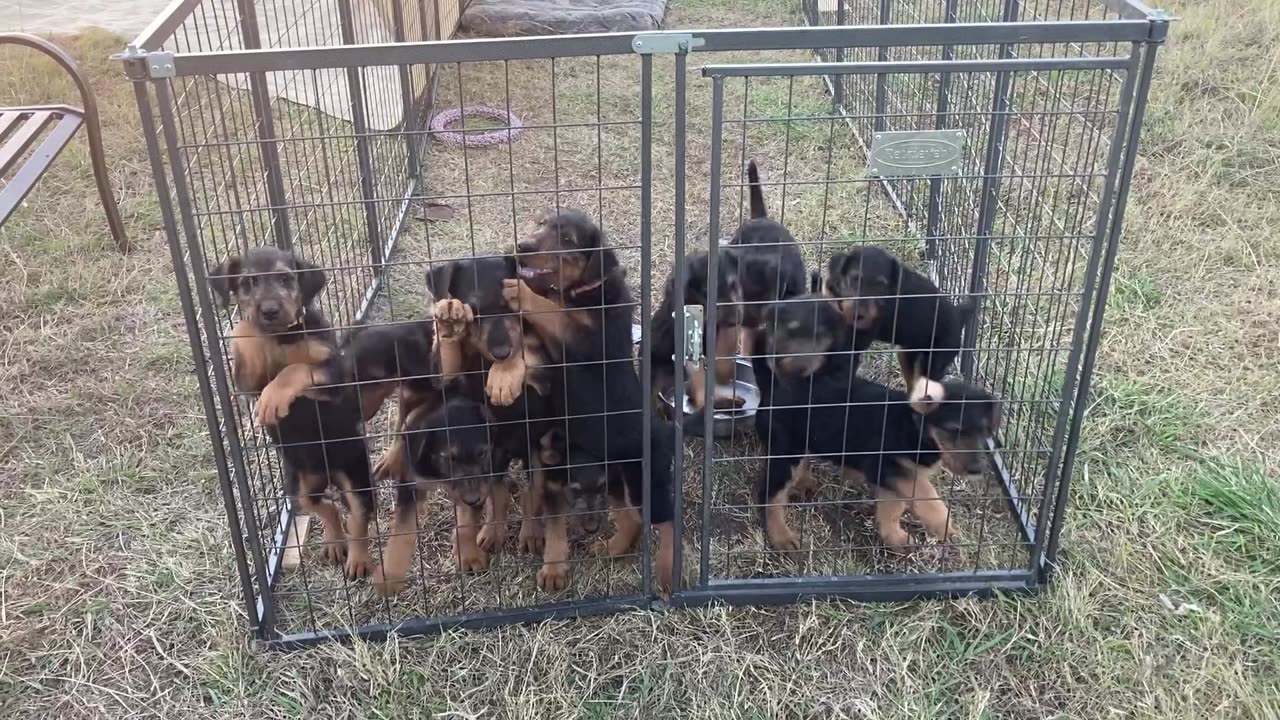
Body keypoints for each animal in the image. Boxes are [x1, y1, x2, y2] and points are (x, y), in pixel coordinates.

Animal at [368, 386, 506, 594]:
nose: (474, 499)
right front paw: (389, 576)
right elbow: (402, 530)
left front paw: (469, 555)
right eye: (449, 458)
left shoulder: (481, 479)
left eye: (482, 453)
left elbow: (467, 519)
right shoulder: (413, 481)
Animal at [824, 243, 972, 394]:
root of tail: (958, 315)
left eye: (881, 286)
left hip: (936, 357)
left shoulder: (864, 333)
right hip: (907, 354)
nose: (859, 314)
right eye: (855, 279)